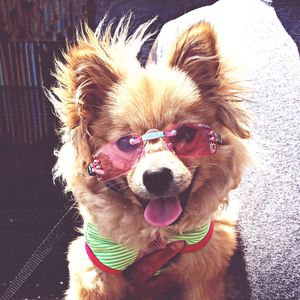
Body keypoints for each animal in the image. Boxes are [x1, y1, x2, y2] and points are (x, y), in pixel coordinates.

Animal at [49, 15, 250, 298]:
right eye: (125, 143)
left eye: (186, 134)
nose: (156, 176)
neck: (156, 235)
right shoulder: (95, 267)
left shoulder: (205, 264)